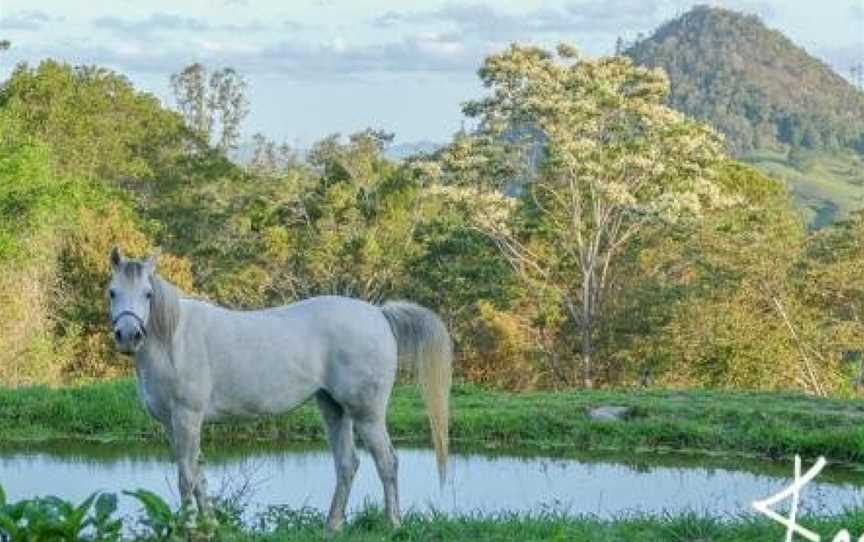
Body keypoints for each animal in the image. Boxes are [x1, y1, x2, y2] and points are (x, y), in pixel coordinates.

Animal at [106, 250, 452, 532]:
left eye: (148, 294)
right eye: (112, 292)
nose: (128, 335)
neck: (174, 338)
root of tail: (379, 314)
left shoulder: (187, 417)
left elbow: (187, 478)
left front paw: (189, 529)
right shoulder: (172, 424)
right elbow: (198, 475)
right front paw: (210, 526)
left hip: (367, 413)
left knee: (387, 462)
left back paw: (393, 525)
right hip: (333, 408)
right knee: (347, 464)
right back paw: (332, 526)